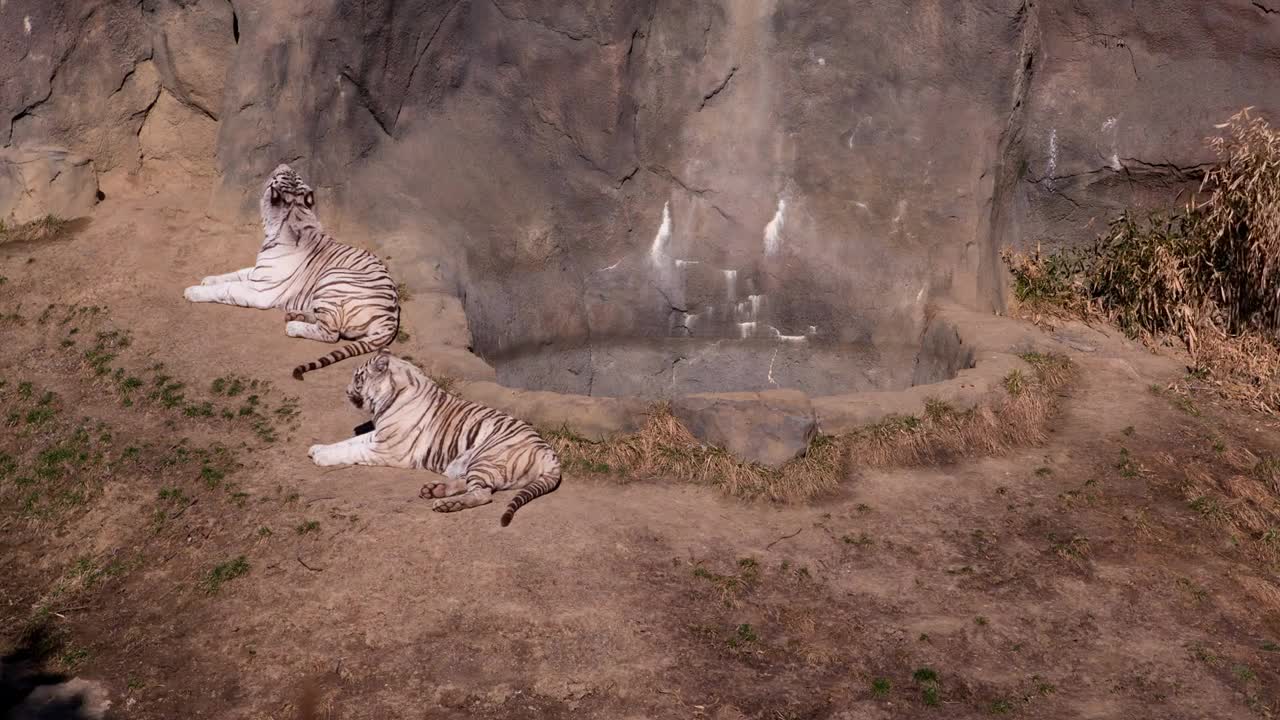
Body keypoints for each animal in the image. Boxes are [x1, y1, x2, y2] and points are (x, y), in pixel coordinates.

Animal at [183, 162, 396, 379]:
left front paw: (193, 291)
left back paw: (293, 326)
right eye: (293, 175)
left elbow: (227, 289)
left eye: (278, 176)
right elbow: (235, 274)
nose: (284, 164)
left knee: (330, 333)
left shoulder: (260, 290)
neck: (295, 212)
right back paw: (296, 315)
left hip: (332, 279)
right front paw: (208, 279)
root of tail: (390, 321)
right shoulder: (258, 272)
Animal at [307, 351, 563, 525]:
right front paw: (317, 448)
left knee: (482, 494)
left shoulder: (387, 448)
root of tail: (549, 454)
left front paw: (320, 457)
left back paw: (445, 503)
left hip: (488, 457)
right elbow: (348, 442)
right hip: (472, 462)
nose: (346, 390)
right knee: (470, 484)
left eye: (358, 377)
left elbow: (352, 450)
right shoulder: (378, 435)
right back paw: (435, 490)